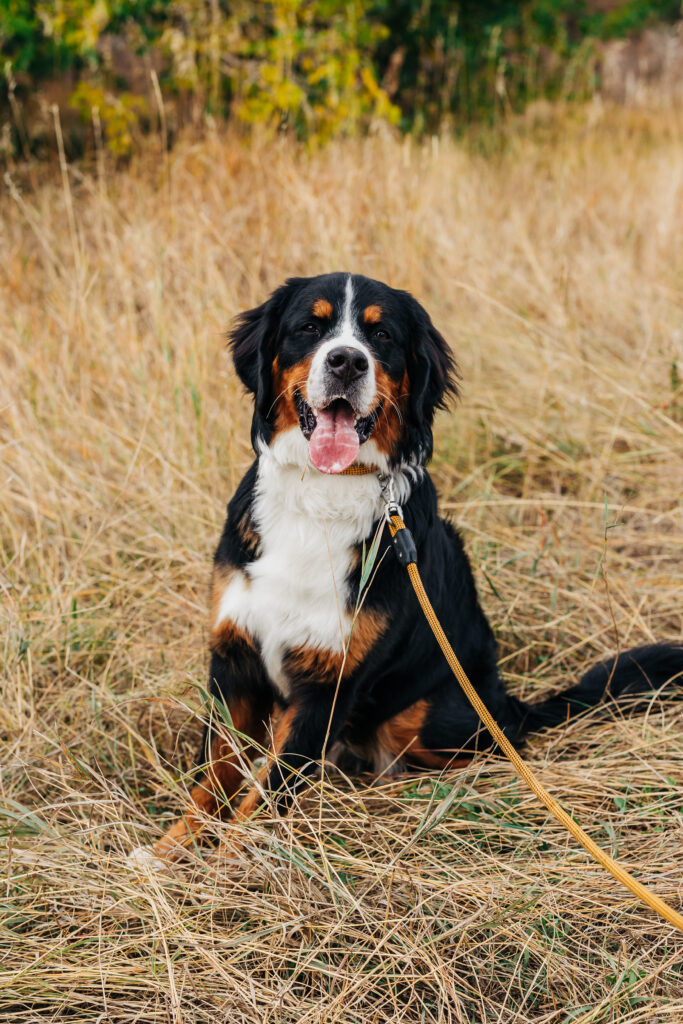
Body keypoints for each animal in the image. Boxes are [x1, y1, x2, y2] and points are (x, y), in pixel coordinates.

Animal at [129, 272, 683, 864]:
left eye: (382, 335)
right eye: (310, 327)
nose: (347, 361)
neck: (322, 494)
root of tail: (508, 703)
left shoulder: (330, 685)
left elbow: (267, 792)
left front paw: (228, 865)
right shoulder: (235, 658)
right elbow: (215, 774)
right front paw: (167, 853)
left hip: (424, 715)